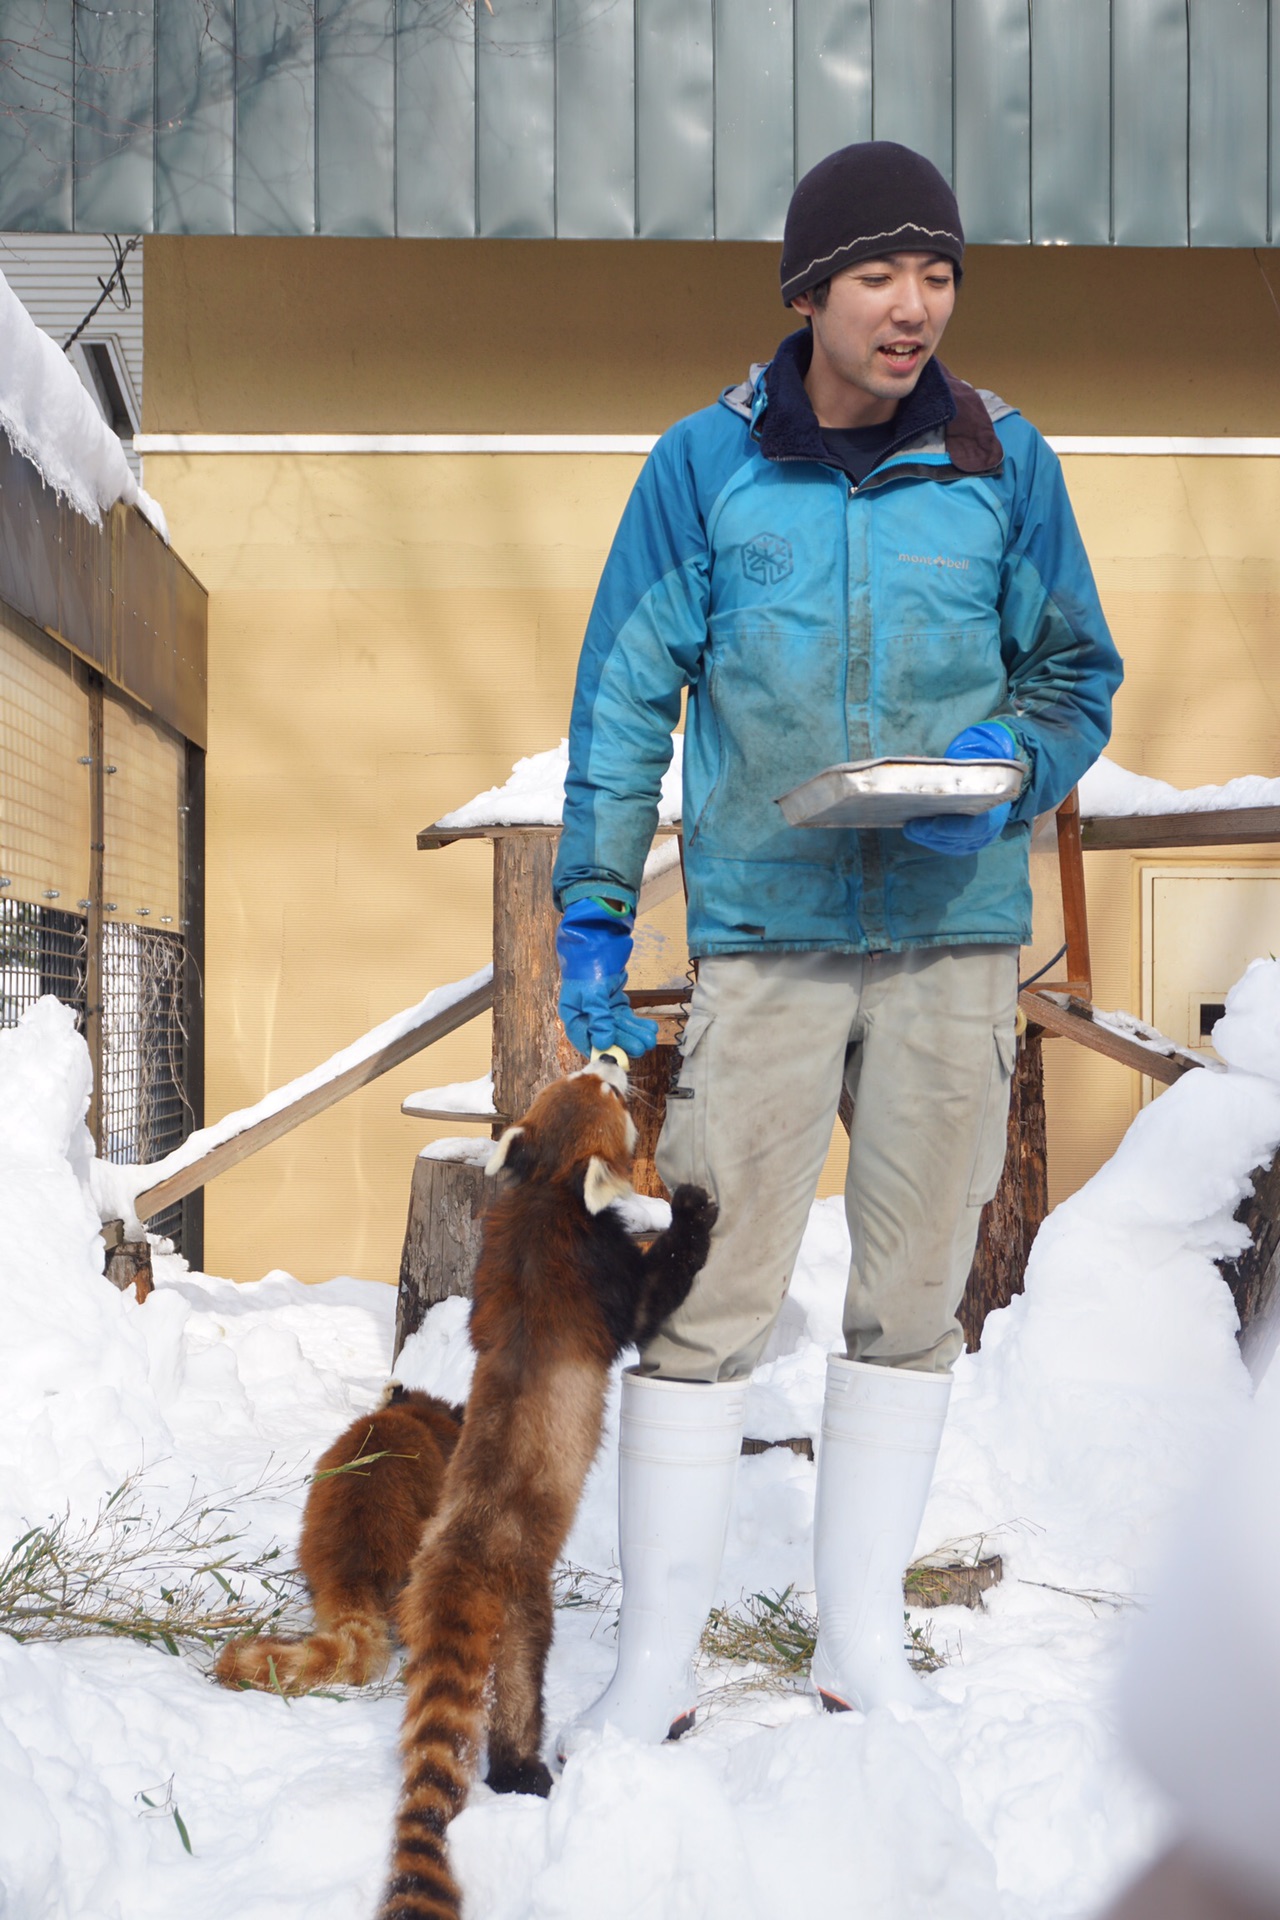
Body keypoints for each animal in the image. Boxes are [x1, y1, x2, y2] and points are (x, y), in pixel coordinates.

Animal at [379, 1059, 721, 1920]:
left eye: (581, 1076)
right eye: (605, 1093)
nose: (610, 1057)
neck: (544, 1194)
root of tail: (457, 1566)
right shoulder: (601, 1283)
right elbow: (654, 1296)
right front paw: (688, 1213)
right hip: (524, 1607)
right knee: (517, 1690)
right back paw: (525, 1770)